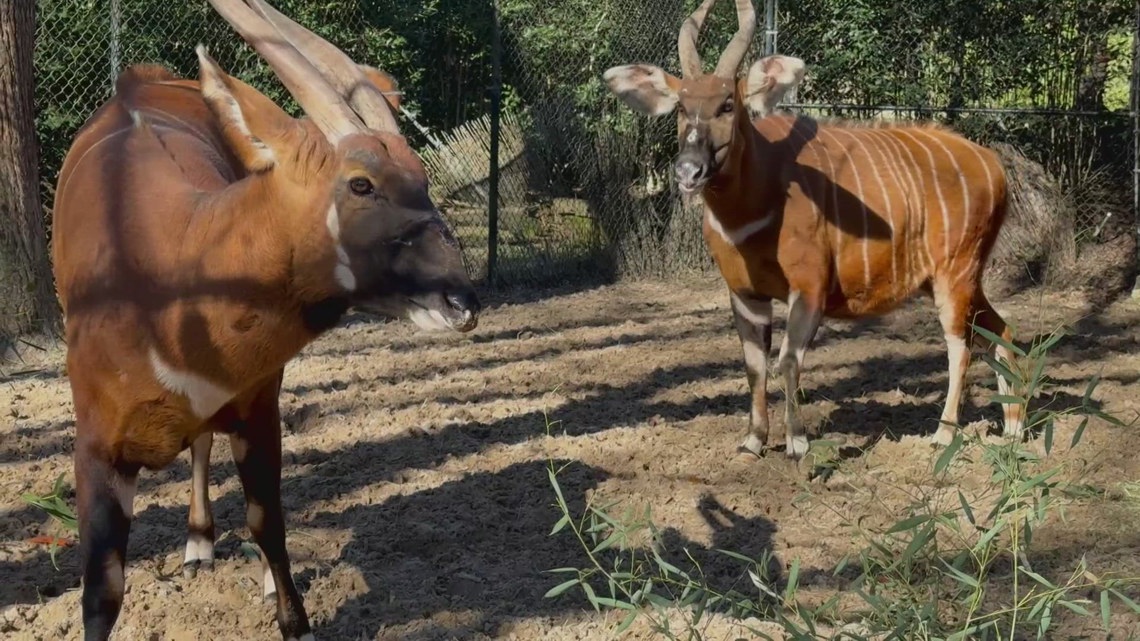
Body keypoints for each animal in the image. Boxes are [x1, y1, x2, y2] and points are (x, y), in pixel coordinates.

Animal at [51, 0, 480, 638]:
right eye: (361, 183)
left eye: (423, 178)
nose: (461, 301)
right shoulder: (97, 448)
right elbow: (102, 589)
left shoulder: (259, 408)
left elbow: (267, 522)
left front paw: (291, 615)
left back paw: (206, 547)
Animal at [602, 0, 1024, 458]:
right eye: (680, 107)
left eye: (728, 105)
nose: (688, 170)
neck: (758, 198)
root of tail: (993, 164)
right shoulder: (745, 294)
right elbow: (754, 364)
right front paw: (753, 441)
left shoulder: (809, 288)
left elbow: (788, 359)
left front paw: (798, 442)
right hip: (953, 279)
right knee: (999, 329)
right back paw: (1014, 426)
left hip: (955, 273)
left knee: (959, 344)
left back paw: (944, 433)